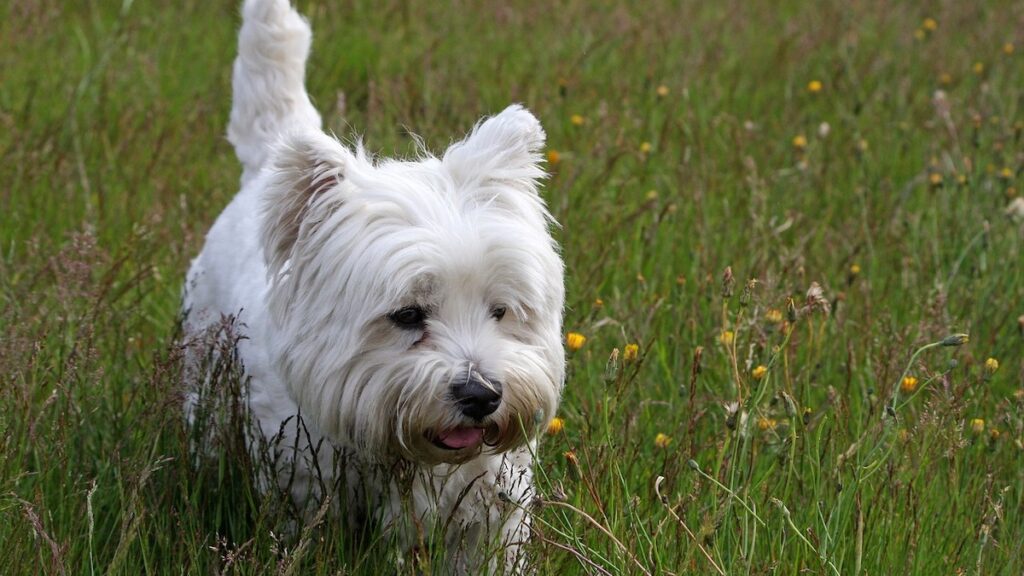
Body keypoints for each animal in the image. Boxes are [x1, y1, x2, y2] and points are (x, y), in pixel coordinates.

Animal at [182, 0, 569, 565]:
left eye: (500, 311)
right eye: (407, 315)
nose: (481, 395)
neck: (412, 457)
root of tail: (267, 166)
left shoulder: (490, 516)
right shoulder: (306, 496)